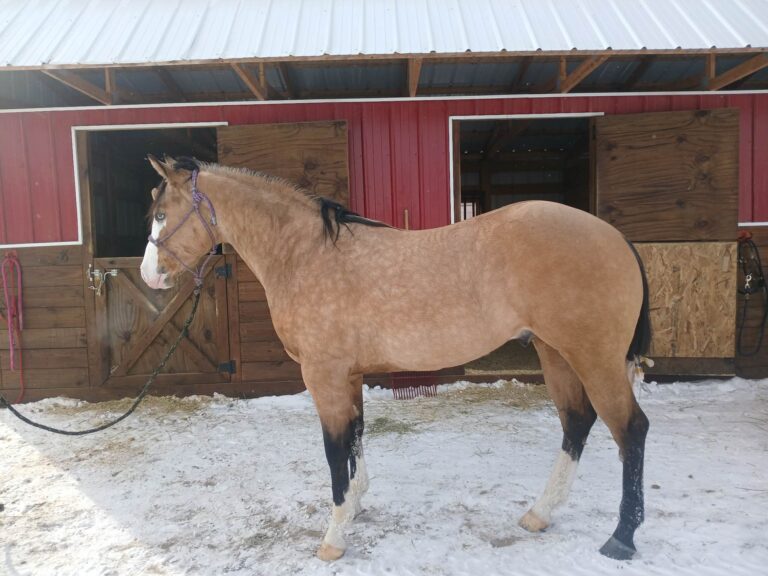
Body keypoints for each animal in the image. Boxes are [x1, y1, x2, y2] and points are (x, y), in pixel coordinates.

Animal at [140, 155, 651, 562]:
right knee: (577, 421)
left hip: (593, 357)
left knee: (630, 430)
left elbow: (334, 449)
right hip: (555, 352)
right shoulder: (347, 375)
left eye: (162, 213)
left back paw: (622, 538)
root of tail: (614, 236)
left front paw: (334, 538)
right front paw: (356, 506)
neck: (306, 255)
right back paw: (540, 514)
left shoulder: (323, 375)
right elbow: (355, 438)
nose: (149, 276)